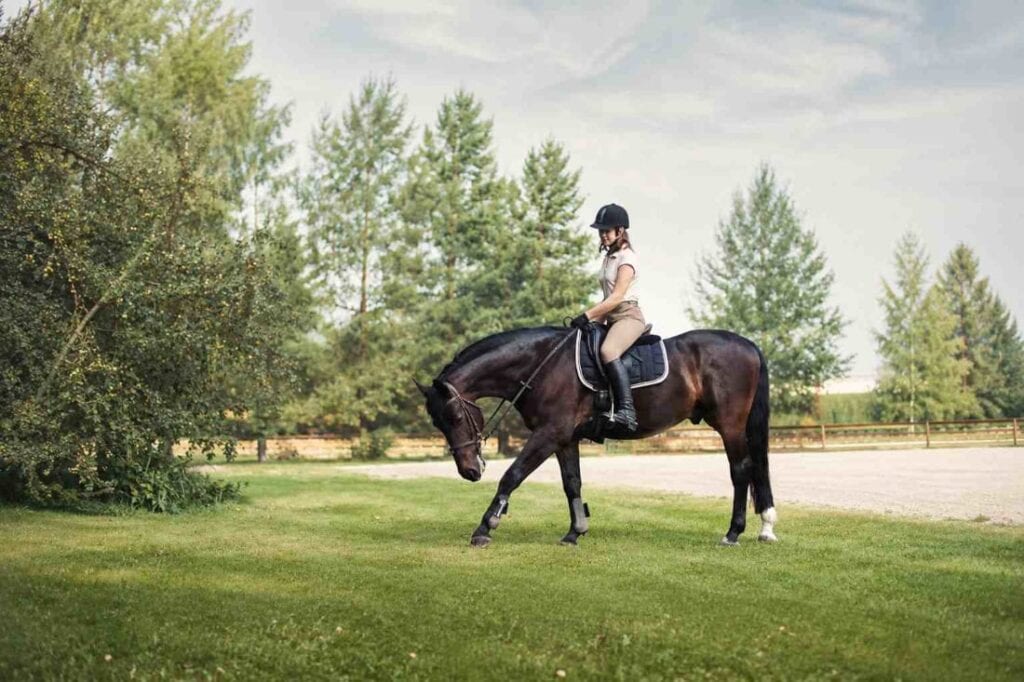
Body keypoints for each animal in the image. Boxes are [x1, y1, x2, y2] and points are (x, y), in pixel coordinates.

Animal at [415, 325, 777, 547]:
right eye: (437, 422)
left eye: (455, 416)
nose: (469, 471)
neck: (542, 365)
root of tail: (748, 345)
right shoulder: (565, 438)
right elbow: (572, 484)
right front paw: (575, 533)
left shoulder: (549, 433)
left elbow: (512, 475)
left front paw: (484, 528)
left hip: (730, 425)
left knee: (741, 471)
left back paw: (733, 532)